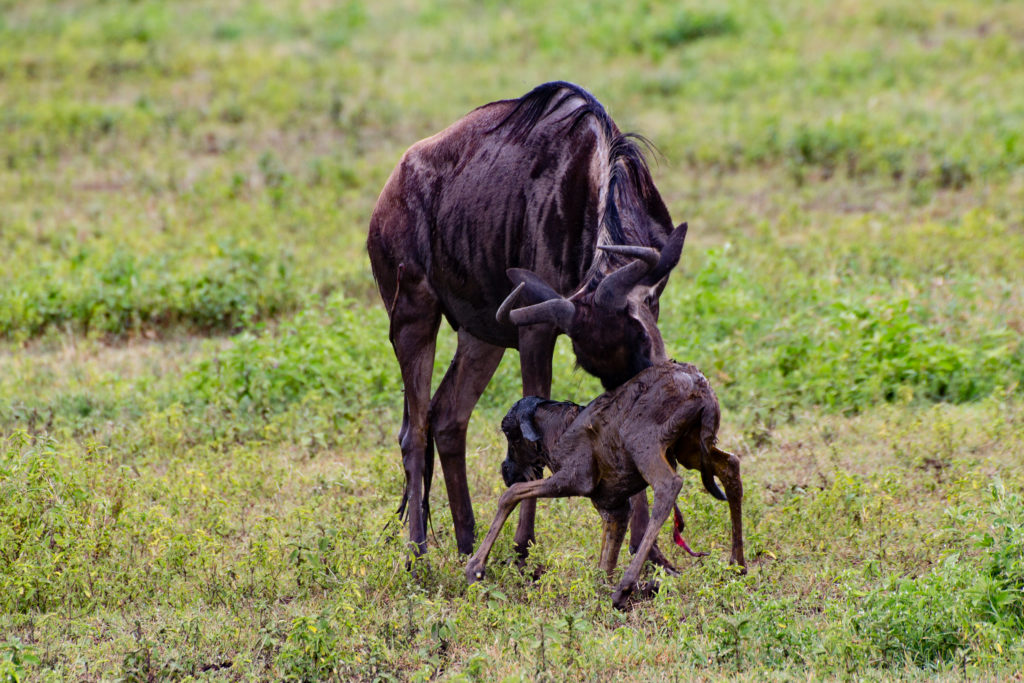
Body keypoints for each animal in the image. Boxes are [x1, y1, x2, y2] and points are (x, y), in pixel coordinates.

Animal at [464, 360, 745, 610]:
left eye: (510, 434)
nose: (506, 471)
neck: (554, 432)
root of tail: (699, 383)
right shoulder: (614, 508)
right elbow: (603, 568)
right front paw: (641, 586)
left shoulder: (575, 478)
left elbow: (510, 495)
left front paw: (475, 568)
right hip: (690, 447)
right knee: (730, 465)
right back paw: (737, 565)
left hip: (642, 440)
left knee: (668, 485)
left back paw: (626, 587)